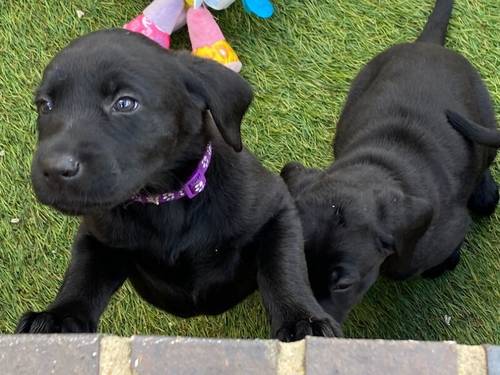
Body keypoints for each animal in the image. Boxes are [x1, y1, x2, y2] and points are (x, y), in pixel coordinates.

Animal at [14, 30, 340, 340]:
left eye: (125, 103)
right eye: (44, 106)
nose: (53, 169)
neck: (164, 200)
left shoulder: (277, 210)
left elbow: (283, 267)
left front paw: (302, 318)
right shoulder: (97, 238)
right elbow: (82, 275)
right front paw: (58, 316)